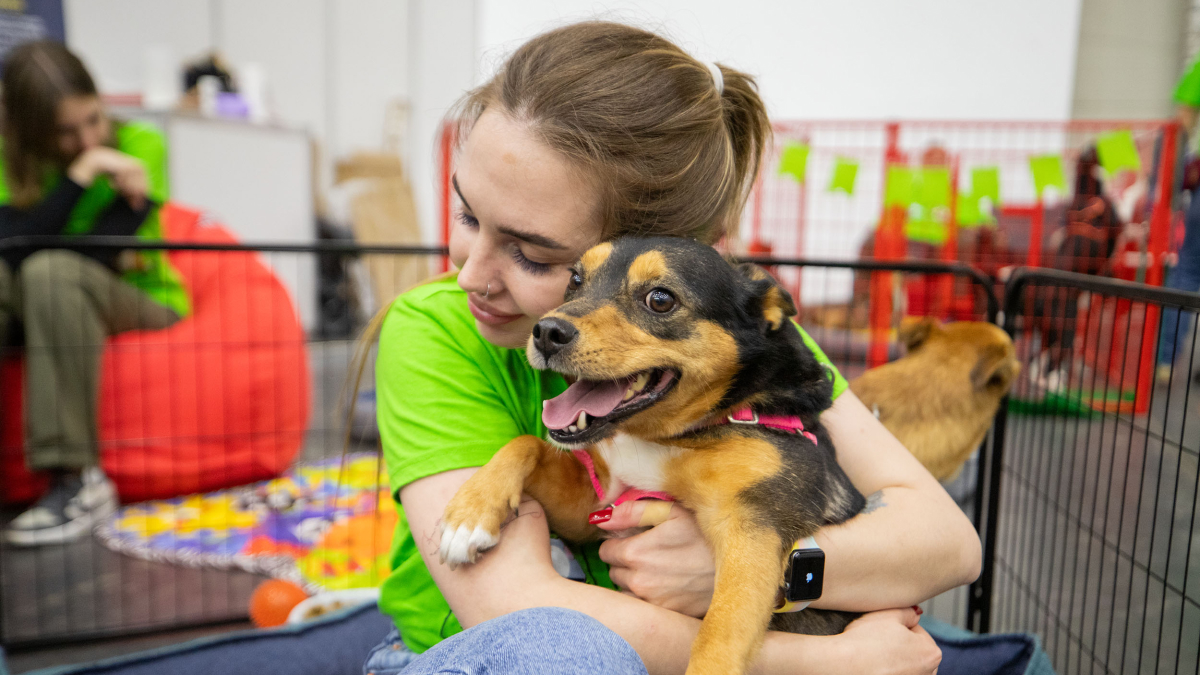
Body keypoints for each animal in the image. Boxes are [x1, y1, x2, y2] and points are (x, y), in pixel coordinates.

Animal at [439, 237, 864, 672]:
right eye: (574, 280)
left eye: (660, 299)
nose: (546, 332)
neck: (671, 436)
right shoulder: (595, 506)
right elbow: (527, 443)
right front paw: (470, 516)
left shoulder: (754, 528)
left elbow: (721, 631)